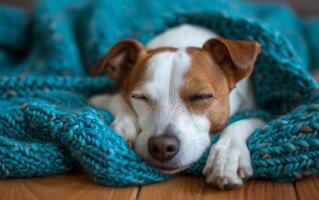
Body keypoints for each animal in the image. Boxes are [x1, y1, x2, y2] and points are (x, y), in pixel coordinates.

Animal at [90, 23, 264, 189]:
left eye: (201, 96)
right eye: (139, 97)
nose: (162, 146)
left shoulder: (261, 112)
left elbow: (241, 122)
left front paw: (226, 157)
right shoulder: (98, 98)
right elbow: (117, 99)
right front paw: (126, 126)